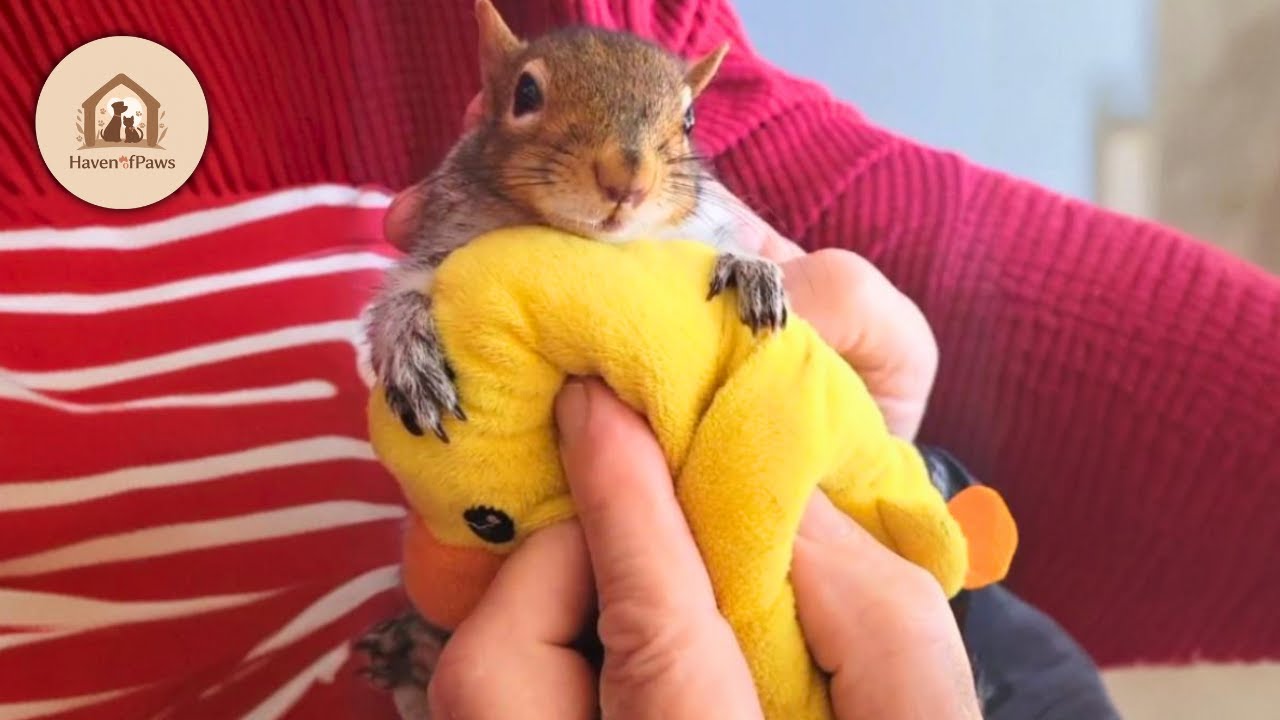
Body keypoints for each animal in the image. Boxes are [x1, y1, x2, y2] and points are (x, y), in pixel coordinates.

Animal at [365, 0, 789, 442]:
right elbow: (398, 295)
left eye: (689, 120)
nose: (628, 180)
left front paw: (748, 266)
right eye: (525, 93)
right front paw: (410, 351)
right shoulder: (442, 237)